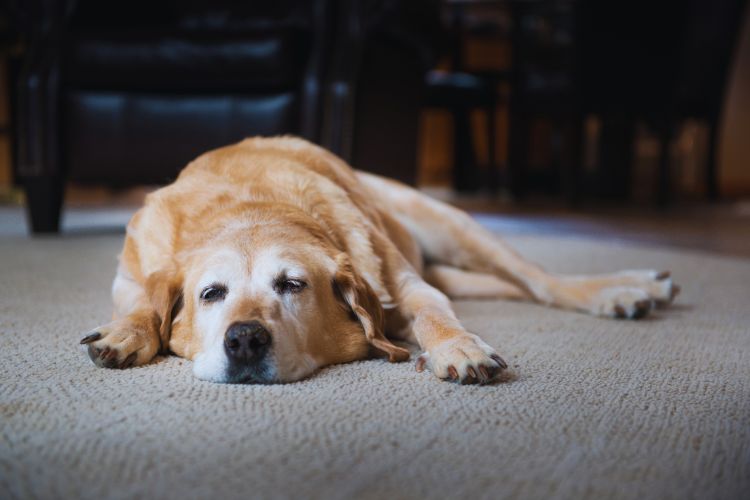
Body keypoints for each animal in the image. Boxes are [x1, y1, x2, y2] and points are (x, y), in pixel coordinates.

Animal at [81, 136, 680, 382]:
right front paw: (126, 333)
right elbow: (142, 305)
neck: (252, 206)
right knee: (509, 287)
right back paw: (641, 287)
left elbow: (433, 314)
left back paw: (621, 289)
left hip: (451, 225)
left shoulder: (408, 286)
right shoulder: (129, 275)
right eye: (211, 294)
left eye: (292, 285)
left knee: (539, 281)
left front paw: (458, 347)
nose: (245, 339)